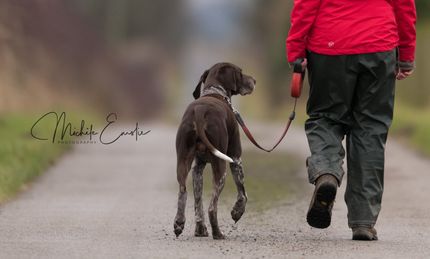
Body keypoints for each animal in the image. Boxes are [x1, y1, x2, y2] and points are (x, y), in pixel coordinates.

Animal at [174, 62, 255, 240]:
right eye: (240, 73)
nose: (254, 80)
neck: (215, 92)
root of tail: (199, 113)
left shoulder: (197, 168)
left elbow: (198, 204)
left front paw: (200, 229)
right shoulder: (236, 158)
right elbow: (243, 194)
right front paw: (237, 212)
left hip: (183, 162)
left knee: (183, 193)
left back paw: (179, 223)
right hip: (221, 168)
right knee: (212, 207)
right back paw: (218, 233)